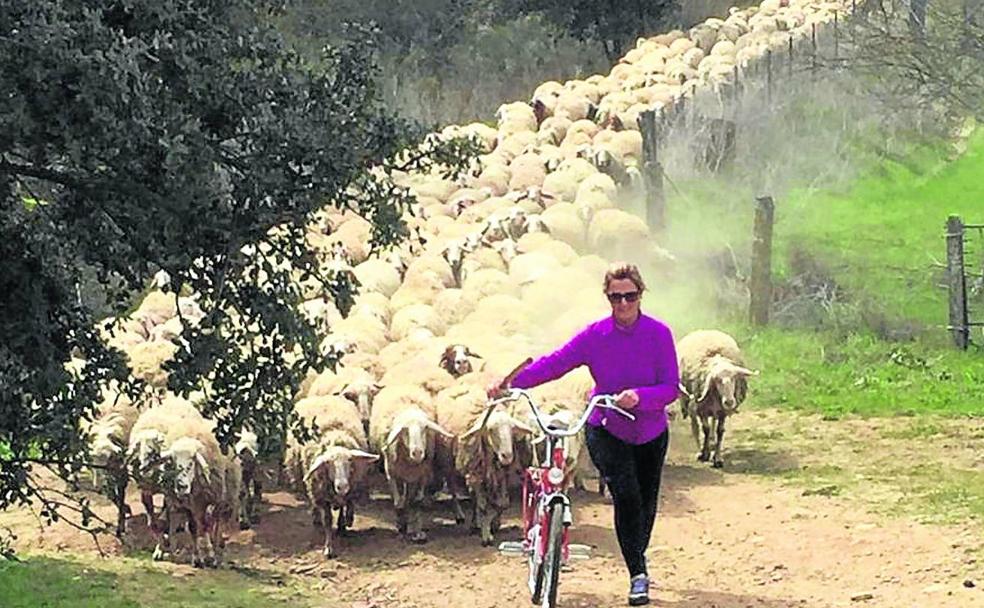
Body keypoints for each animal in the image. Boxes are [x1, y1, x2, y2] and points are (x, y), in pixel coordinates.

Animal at [676, 330, 760, 468]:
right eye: (717, 380)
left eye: (734, 378)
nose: (729, 402)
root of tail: (704, 330)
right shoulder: (702, 409)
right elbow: (705, 429)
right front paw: (704, 454)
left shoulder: (722, 412)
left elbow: (720, 431)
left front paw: (718, 458)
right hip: (690, 403)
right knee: (695, 425)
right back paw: (700, 448)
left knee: (713, 424)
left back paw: (712, 441)